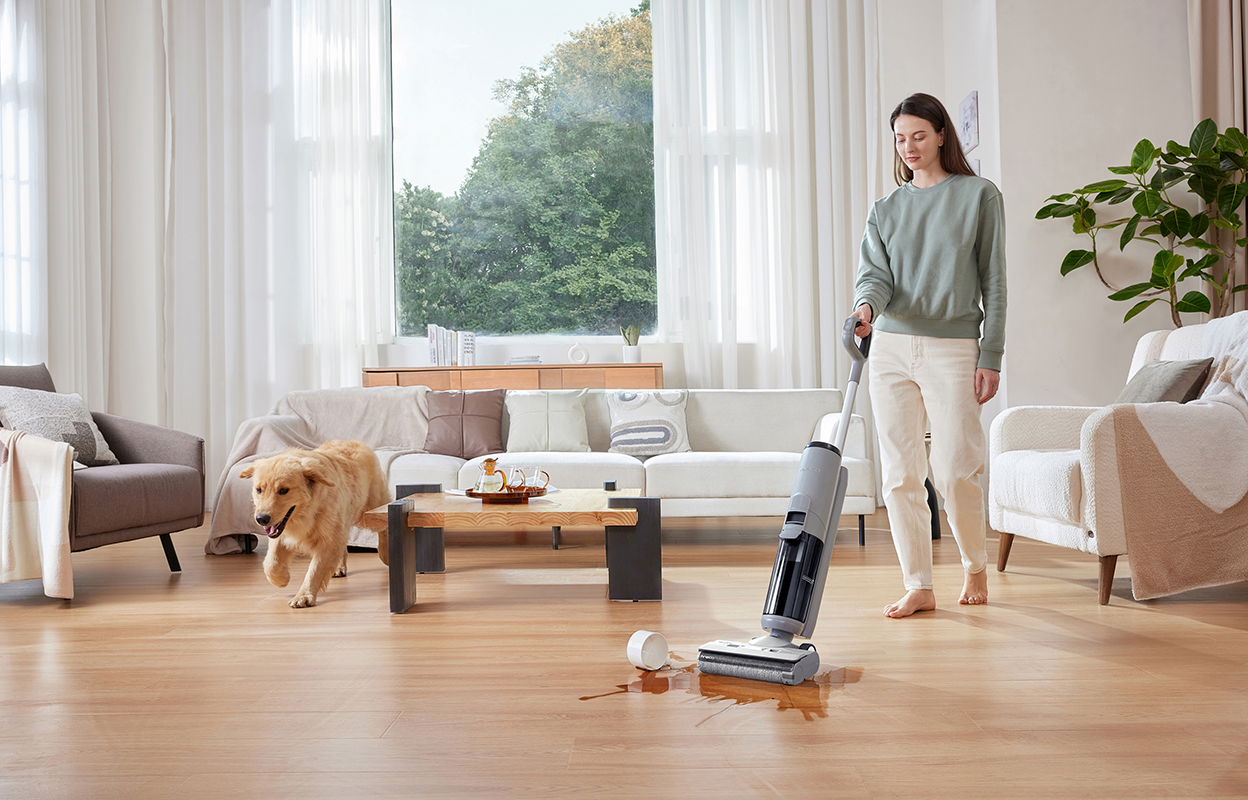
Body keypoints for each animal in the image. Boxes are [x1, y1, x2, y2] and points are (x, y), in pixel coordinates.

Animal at [235, 436, 386, 604]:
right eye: (259, 490)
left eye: (283, 490)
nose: (261, 519)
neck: (307, 512)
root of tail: (353, 441)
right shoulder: (281, 533)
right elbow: (271, 563)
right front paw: (281, 579)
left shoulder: (329, 539)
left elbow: (315, 570)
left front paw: (303, 595)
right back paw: (339, 567)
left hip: (372, 507)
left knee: (382, 526)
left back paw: (385, 553)